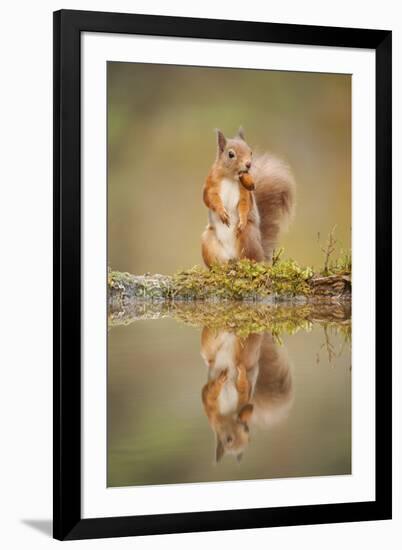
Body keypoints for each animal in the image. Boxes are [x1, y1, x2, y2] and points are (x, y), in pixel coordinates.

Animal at [201, 129, 296, 268]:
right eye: (230, 154)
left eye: (250, 152)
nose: (248, 164)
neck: (231, 177)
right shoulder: (210, 184)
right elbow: (209, 199)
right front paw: (222, 213)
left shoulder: (245, 193)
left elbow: (245, 205)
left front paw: (242, 219)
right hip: (208, 241)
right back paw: (222, 266)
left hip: (248, 235)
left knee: (250, 258)